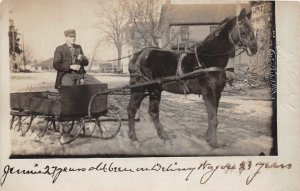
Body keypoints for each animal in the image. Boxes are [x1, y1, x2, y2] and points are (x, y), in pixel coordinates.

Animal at [126, 8, 258, 148]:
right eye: (244, 30)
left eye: (252, 28)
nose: (254, 49)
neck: (209, 58)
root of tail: (138, 55)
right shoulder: (208, 92)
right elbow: (213, 118)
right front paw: (213, 143)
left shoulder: (217, 93)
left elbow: (213, 116)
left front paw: (209, 139)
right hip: (139, 89)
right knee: (132, 109)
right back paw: (134, 139)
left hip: (155, 89)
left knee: (153, 112)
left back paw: (164, 138)